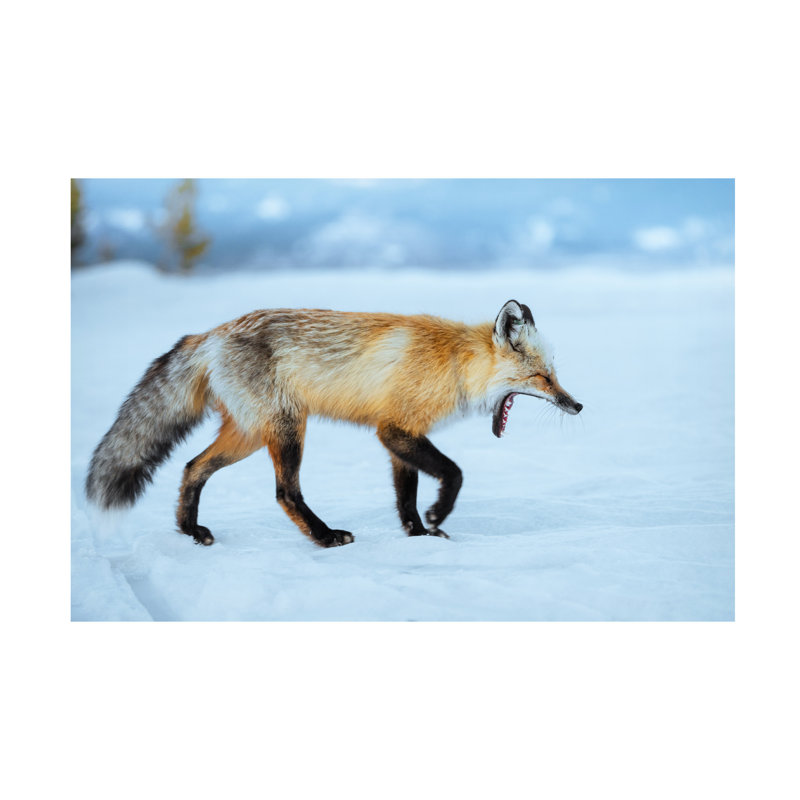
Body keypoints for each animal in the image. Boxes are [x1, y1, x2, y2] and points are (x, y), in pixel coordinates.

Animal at [86, 299, 582, 547]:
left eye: (555, 374)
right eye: (542, 378)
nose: (577, 406)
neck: (455, 364)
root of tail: (208, 334)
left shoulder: (399, 432)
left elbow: (405, 496)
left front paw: (419, 536)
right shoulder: (394, 430)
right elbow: (454, 474)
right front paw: (438, 515)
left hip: (248, 434)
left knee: (192, 468)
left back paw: (190, 531)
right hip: (287, 428)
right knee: (286, 493)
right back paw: (324, 537)